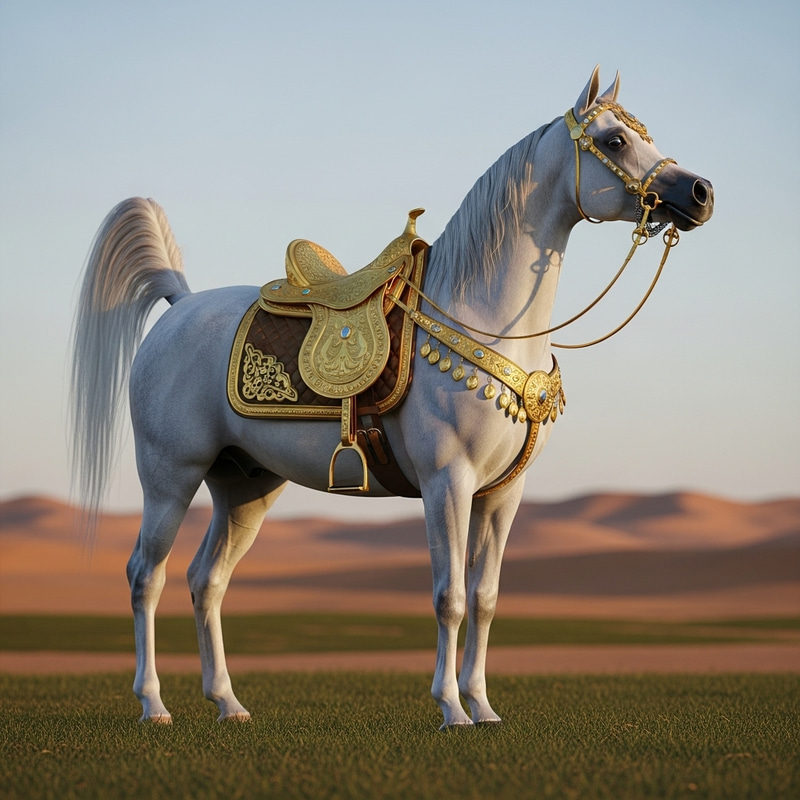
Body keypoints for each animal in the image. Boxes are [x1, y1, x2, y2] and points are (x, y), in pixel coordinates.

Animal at [70, 67, 713, 728]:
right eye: (614, 141)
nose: (700, 192)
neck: (482, 319)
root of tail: (179, 305)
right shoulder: (447, 480)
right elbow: (450, 597)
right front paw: (451, 708)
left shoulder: (503, 493)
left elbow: (485, 598)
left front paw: (483, 706)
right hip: (169, 475)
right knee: (146, 576)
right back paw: (153, 704)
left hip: (245, 486)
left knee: (207, 581)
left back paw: (228, 702)